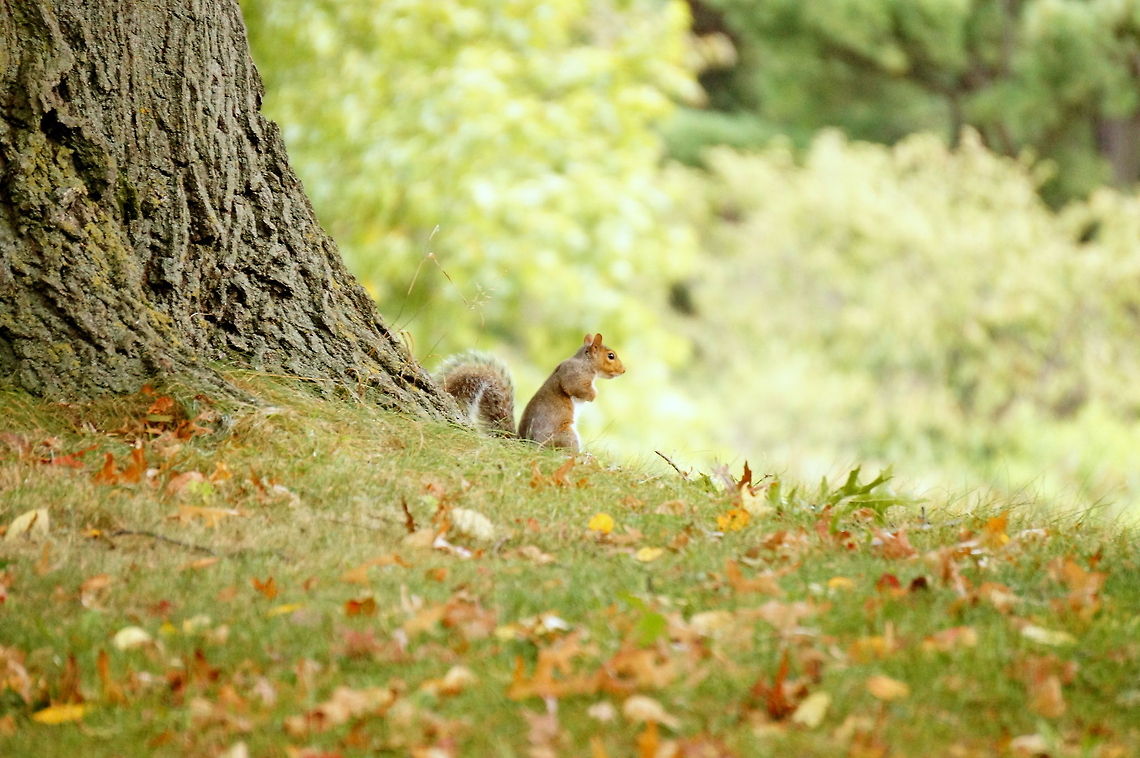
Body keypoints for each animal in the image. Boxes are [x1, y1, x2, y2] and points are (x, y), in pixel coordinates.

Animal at [436, 333, 625, 452]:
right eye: (611, 356)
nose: (624, 370)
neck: (585, 362)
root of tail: (525, 443)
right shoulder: (575, 375)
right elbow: (576, 388)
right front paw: (594, 395)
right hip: (567, 435)